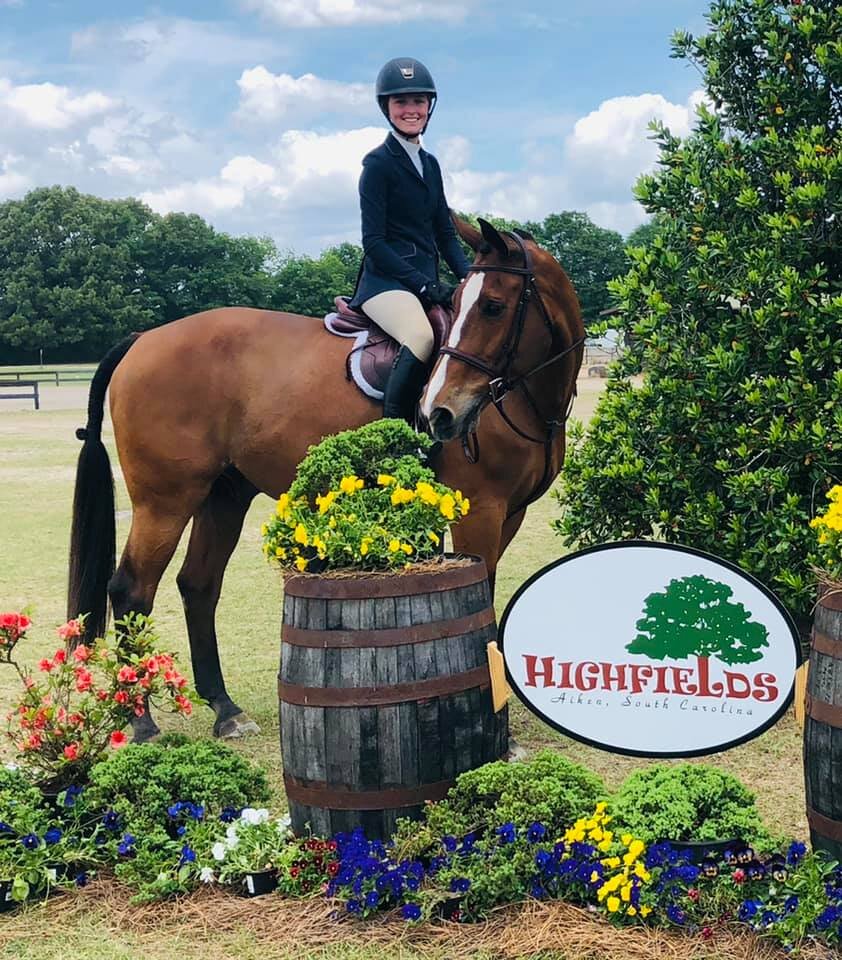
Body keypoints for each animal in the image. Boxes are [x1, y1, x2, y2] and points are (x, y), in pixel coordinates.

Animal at [67, 216, 585, 740]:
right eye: (461, 304)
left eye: (493, 306)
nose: (439, 413)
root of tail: (143, 338)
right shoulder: (481, 509)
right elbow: (485, 598)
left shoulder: (512, 514)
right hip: (166, 501)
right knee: (131, 590)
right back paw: (141, 719)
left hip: (223, 496)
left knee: (198, 584)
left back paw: (225, 709)